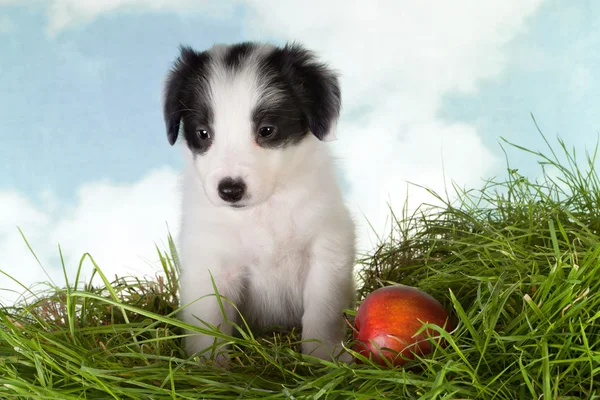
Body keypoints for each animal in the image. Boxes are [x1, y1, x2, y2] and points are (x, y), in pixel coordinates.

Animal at [162, 41, 356, 362]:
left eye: (266, 130)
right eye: (203, 133)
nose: (230, 190)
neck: (260, 214)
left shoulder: (328, 248)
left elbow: (323, 311)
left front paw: (325, 357)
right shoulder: (212, 263)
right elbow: (209, 324)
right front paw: (209, 365)